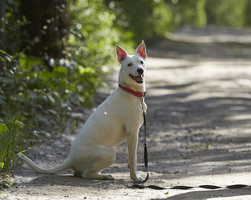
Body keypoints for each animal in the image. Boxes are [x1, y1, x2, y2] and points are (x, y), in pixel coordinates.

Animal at [18, 41, 148, 181]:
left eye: (141, 62)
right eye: (129, 64)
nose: (140, 70)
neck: (131, 92)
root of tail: (70, 158)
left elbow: (131, 159)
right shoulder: (132, 133)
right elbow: (133, 159)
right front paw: (135, 177)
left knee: (80, 173)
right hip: (109, 152)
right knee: (86, 174)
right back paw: (105, 176)